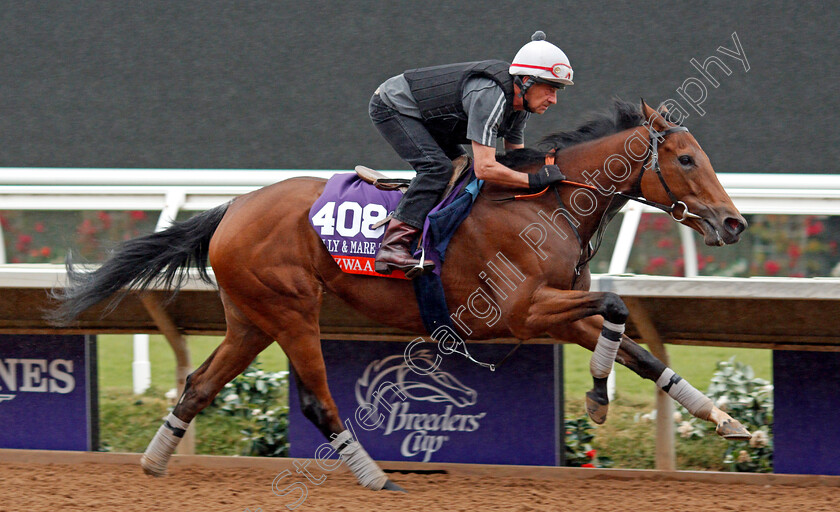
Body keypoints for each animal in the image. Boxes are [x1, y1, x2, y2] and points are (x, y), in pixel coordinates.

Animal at [50, 98, 748, 490]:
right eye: (686, 159)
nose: (734, 222)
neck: (544, 202)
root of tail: (234, 208)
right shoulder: (519, 312)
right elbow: (616, 306)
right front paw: (600, 399)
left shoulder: (556, 312)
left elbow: (640, 349)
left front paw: (723, 419)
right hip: (292, 310)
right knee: (318, 401)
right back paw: (376, 477)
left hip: (250, 318)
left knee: (198, 384)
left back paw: (153, 464)